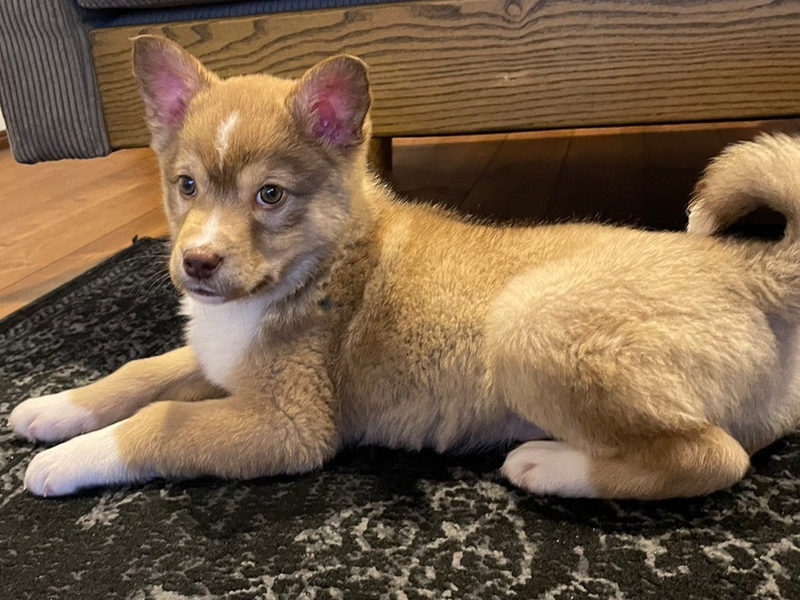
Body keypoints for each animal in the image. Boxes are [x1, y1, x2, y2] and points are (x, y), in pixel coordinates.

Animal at [9, 35, 800, 500]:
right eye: (187, 185)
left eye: (270, 196)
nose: (198, 263)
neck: (320, 262)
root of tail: (744, 265)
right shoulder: (219, 361)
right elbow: (143, 373)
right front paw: (56, 408)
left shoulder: (289, 424)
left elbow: (162, 422)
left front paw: (65, 460)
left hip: (531, 322)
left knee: (714, 457)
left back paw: (549, 464)